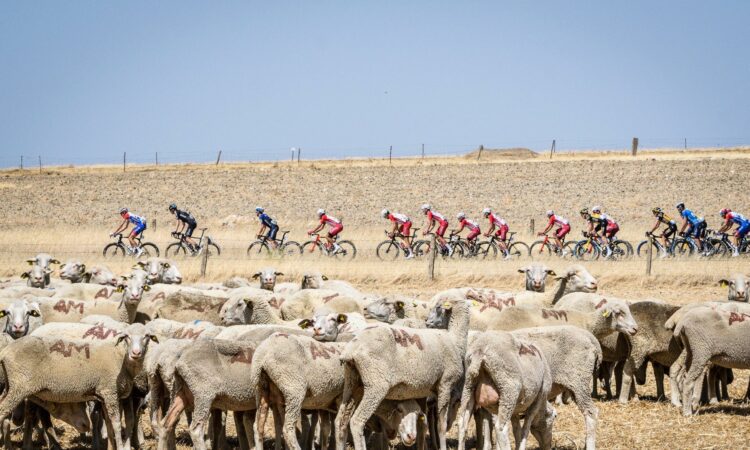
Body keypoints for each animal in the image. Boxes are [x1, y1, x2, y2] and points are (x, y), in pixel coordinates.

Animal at [0, 325, 158, 450]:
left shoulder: (104, 395)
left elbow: (109, 425)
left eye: (147, 337)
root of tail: (5, 351)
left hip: (10, 386)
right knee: (3, 410)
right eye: (126, 337)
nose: (136, 353)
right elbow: (116, 424)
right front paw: (120, 447)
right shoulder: (110, 392)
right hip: (20, 386)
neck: (122, 359)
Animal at [335, 297, 470, 450]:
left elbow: (422, 422)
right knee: (357, 421)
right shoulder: (445, 384)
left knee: (341, 420)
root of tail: (352, 348)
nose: (427, 321)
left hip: (353, 383)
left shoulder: (422, 392)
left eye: (438, 307)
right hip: (376, 384)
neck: (454, 340)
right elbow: (441, 424)